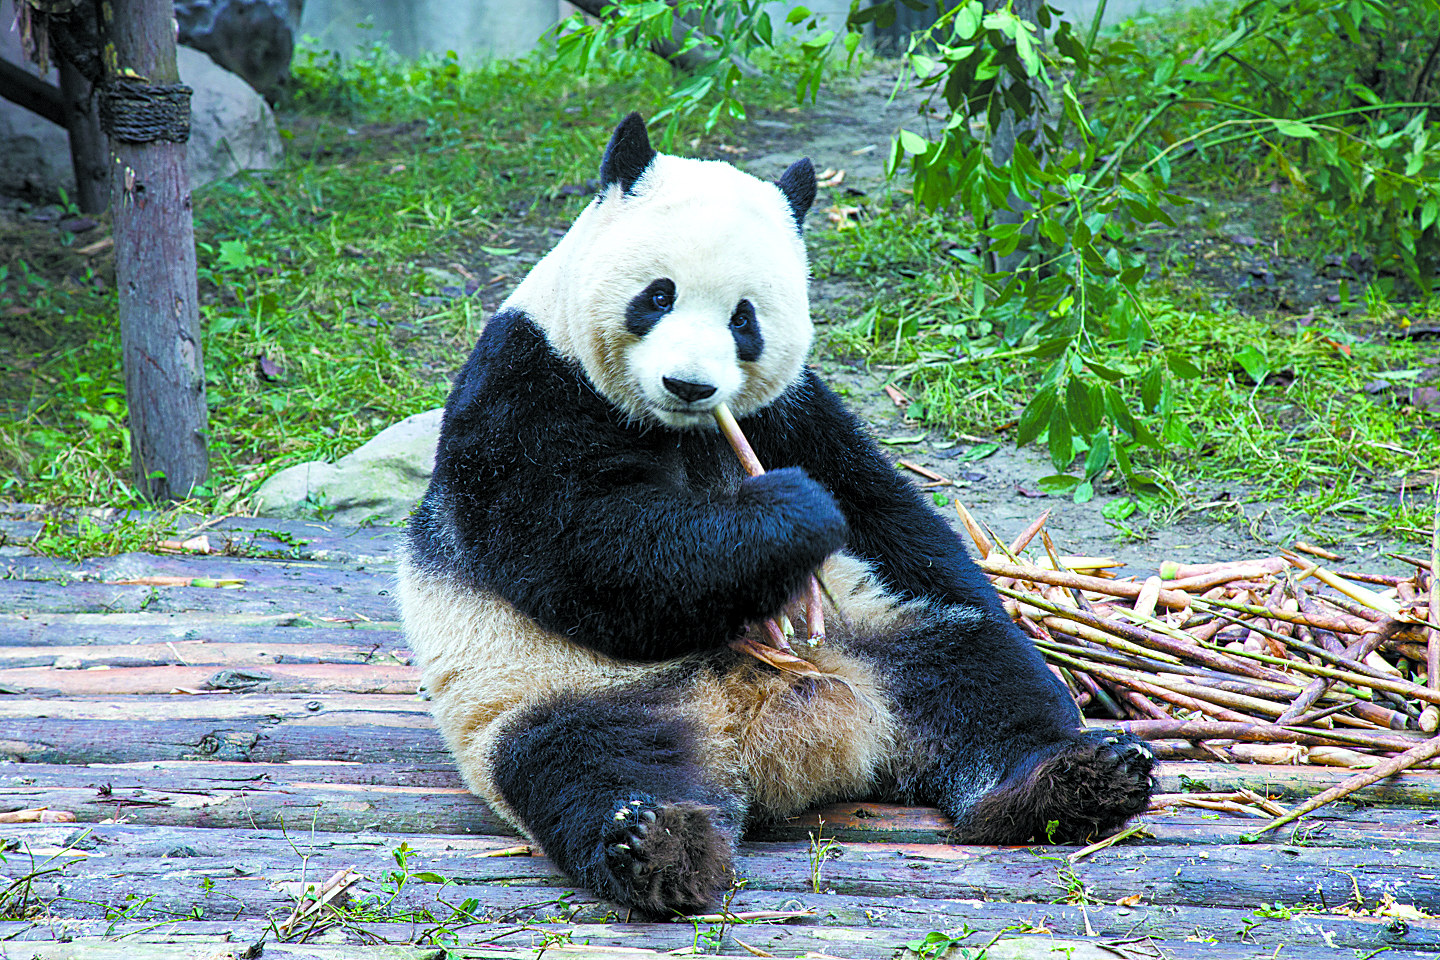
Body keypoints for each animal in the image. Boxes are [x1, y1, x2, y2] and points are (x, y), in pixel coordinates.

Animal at [399, 112, 1156, 918]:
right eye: (658, 296)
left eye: (744, 319)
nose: (690, 384)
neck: (682, 427)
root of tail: (772, 739)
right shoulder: (529, 387)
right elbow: (584, 547)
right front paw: (791, 515)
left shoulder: (791, 410)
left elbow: (885, 511)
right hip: (549, 687)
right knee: (586, 759)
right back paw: (655, 843)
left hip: (887, 629)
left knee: (978, 671)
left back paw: (1074, 781)